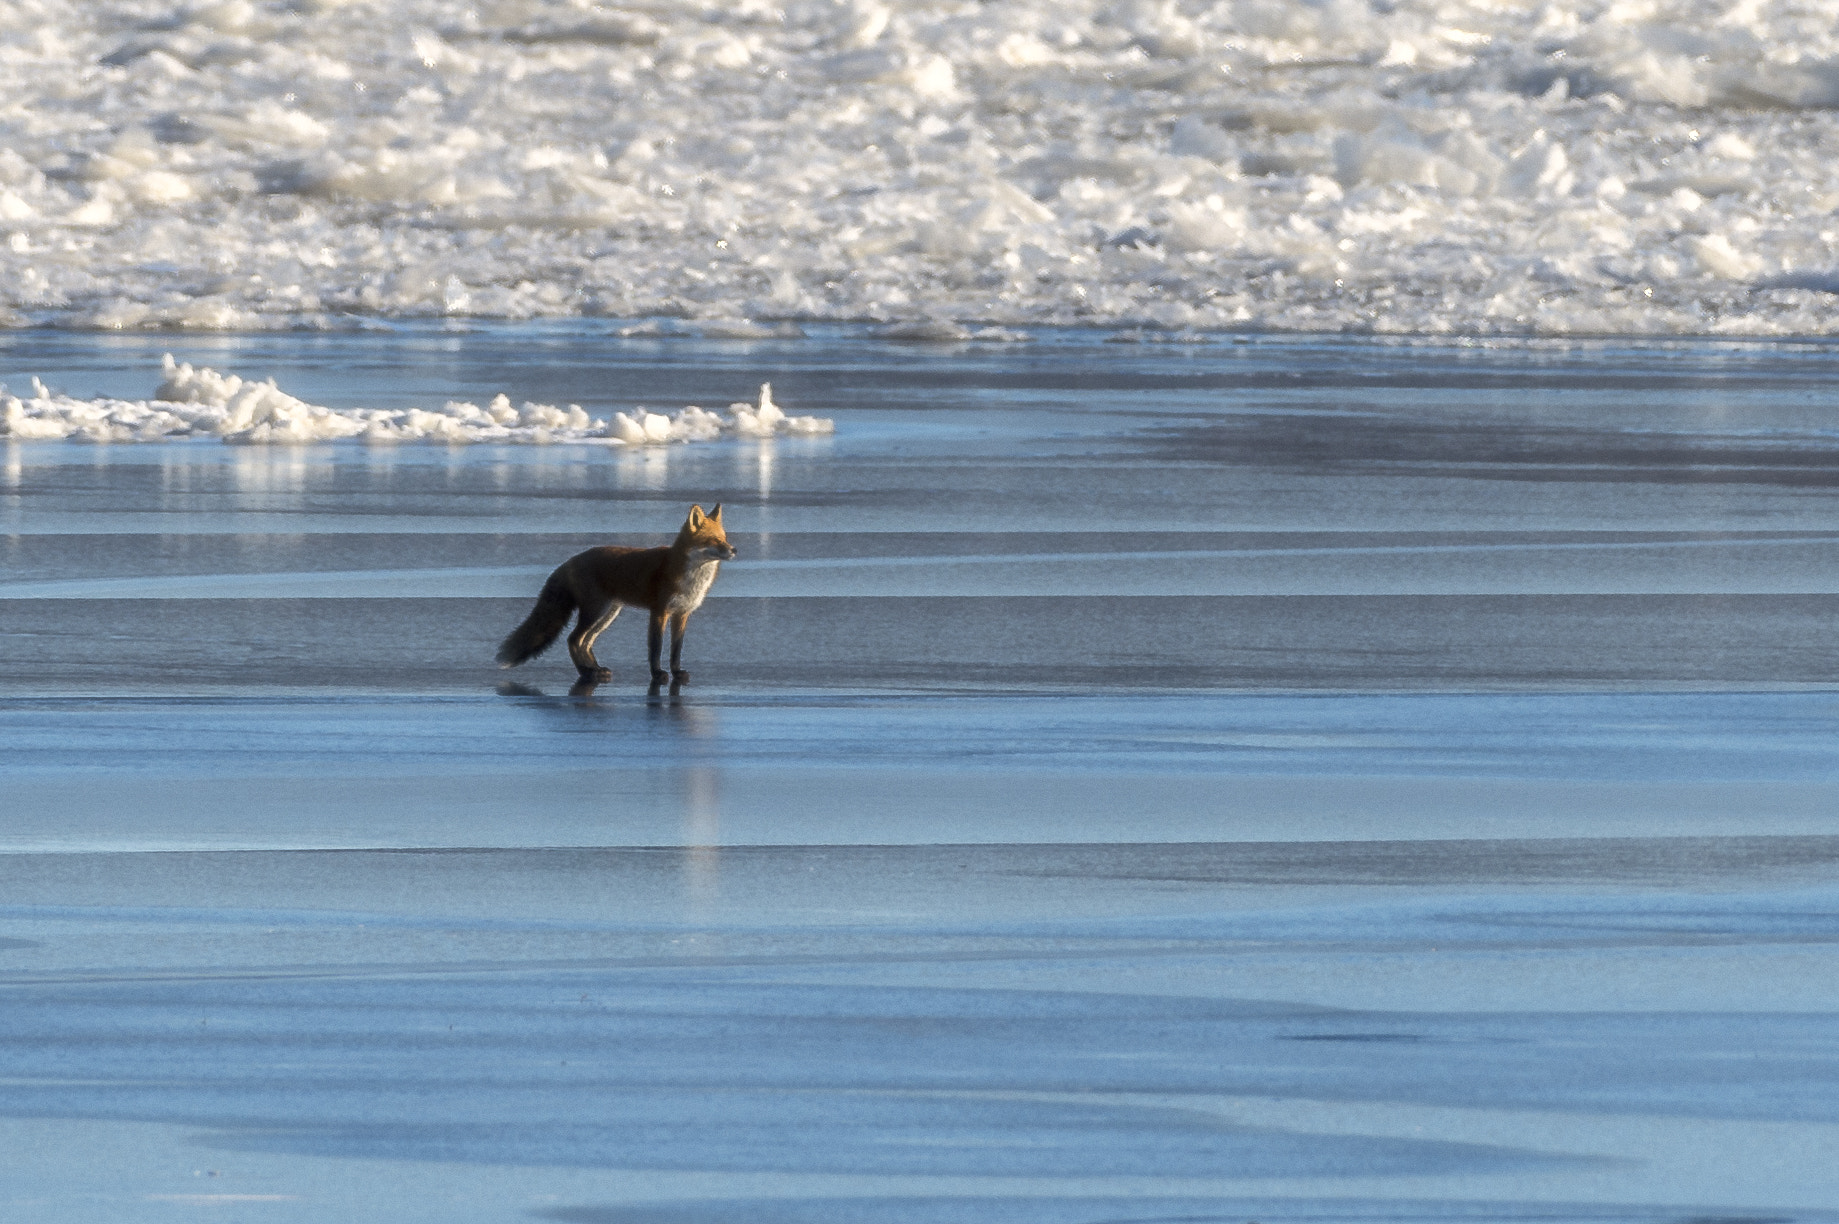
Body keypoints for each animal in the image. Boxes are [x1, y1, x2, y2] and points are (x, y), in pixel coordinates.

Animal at [497, 503, 737, 685]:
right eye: (714, 540)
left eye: (725, 538)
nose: (734, 549)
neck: (690, 577)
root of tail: (570, 560)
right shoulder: (659, 611)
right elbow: (656, 648)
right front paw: (657, 674)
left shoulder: (682, 614)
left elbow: (676, 649)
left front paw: (677, 673)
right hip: (596, 611)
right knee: (573, 639)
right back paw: (586, 672)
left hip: (608, 614)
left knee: (585, 642)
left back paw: (595, 669)